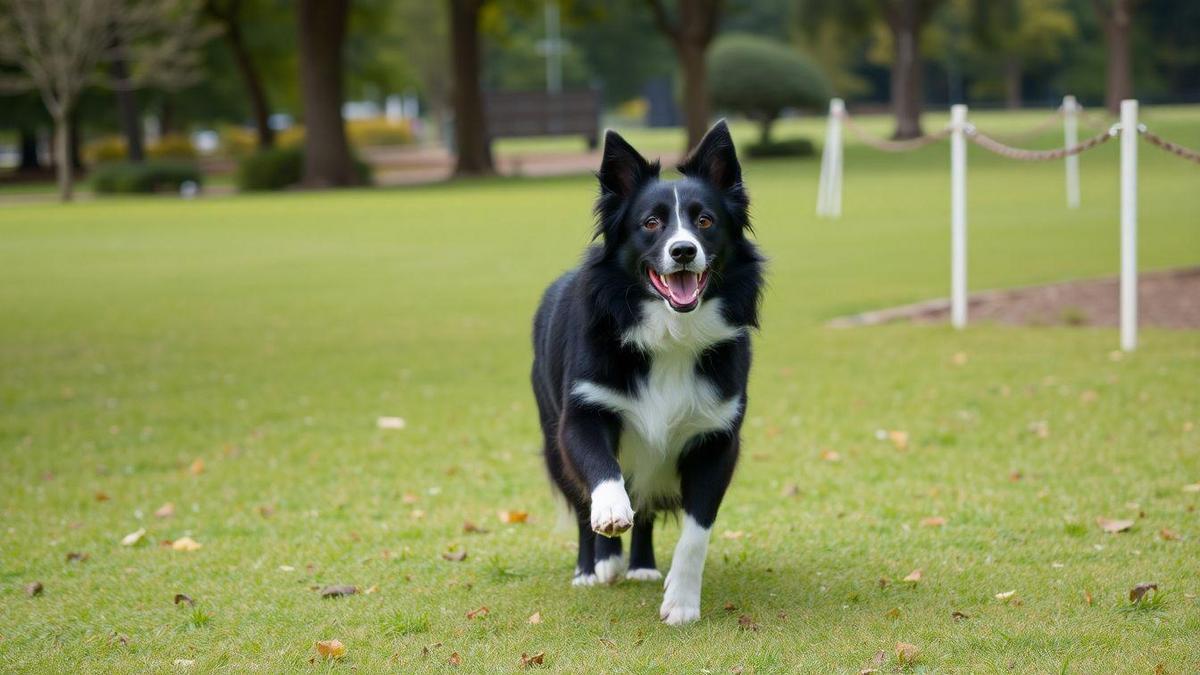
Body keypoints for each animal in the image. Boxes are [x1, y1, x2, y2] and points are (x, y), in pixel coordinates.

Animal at [532, 119, 763, 619]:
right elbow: (601, 471)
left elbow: (696, 531)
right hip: (550, 428)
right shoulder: (582, 412)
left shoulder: (716, 437)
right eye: (651, 223)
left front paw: (682, 602)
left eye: (705, 221)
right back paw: (595, 566)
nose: (683, 251)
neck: (670, 333)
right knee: (581, 497)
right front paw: (609, 517)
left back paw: (640, 565)